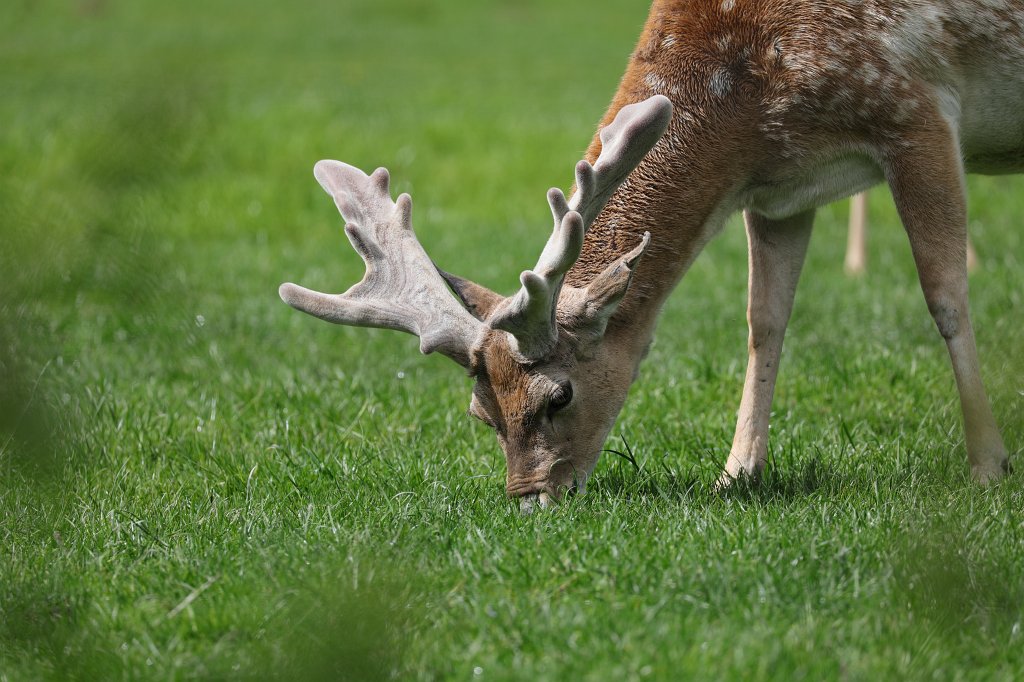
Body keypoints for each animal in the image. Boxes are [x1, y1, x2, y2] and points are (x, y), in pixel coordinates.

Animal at [280, 0, 1019, 511]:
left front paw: (989, 465)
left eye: (558, 397)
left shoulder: (918, 109)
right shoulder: (782, 191)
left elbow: (945, 296)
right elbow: (764, 322)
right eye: (480, 412)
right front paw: (735, 474)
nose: (528, 502)